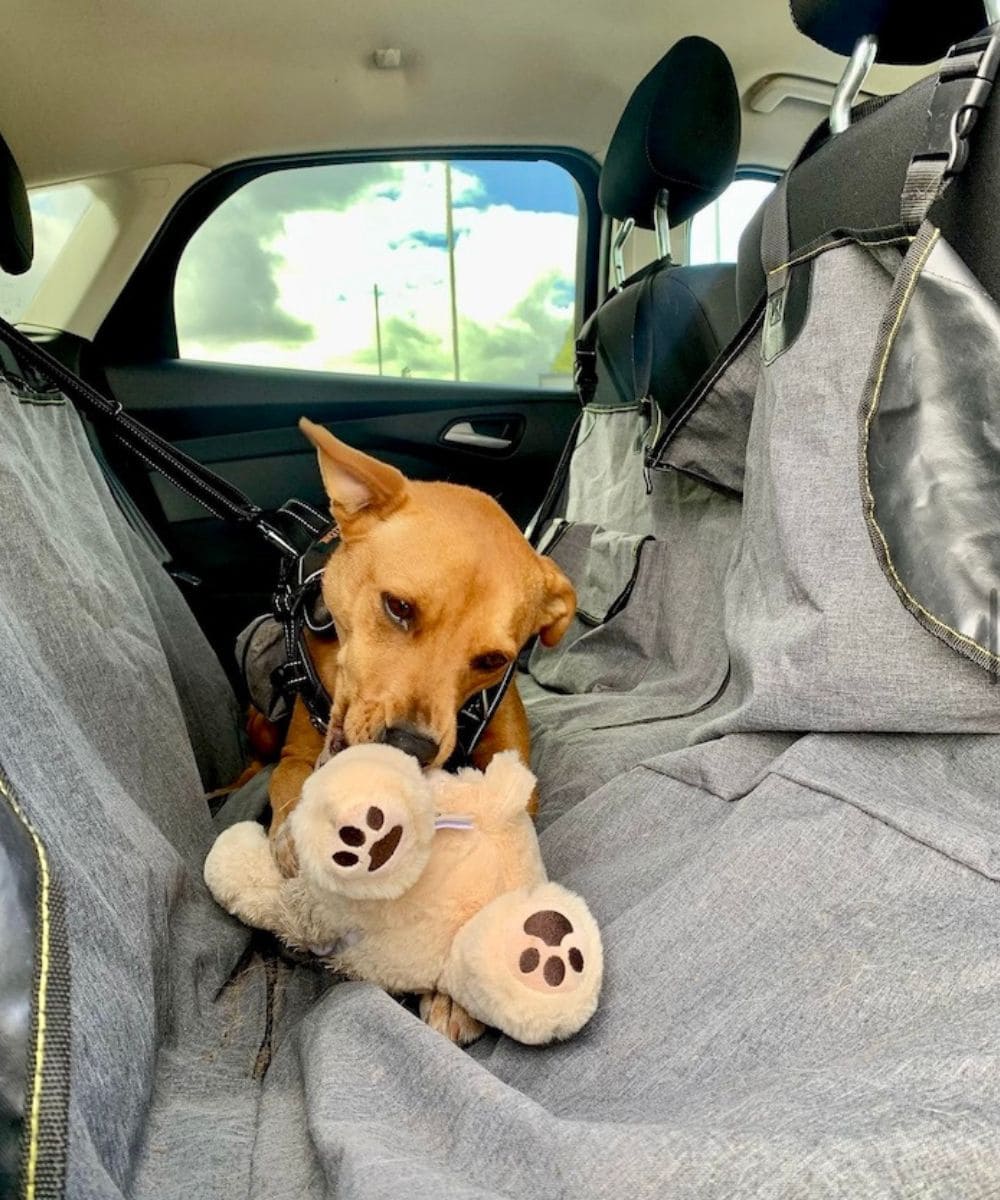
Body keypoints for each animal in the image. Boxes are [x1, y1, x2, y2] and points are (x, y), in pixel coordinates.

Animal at [265, 420, 573, 1041]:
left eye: (492, 660)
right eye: (398, 607)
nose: (411, 746)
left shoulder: (516, 780)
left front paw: (457, 993)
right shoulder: (292, 758)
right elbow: (290, 791)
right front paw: (295, 839)